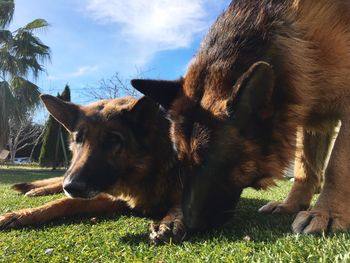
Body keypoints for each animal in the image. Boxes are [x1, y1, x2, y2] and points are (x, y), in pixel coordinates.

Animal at [0, 96, 186, 244]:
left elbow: (180, 204)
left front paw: (169, 222)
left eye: (112, 139)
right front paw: (20, 214)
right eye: (79, 139)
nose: (71, 187)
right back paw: (36, 190)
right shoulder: (111, 197)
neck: (148, 171)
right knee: (56, 184)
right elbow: (64, 202)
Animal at [131, 0, 350, 235]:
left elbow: (336, 165)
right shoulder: (311, 115)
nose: (188, 225)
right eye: (182, 162)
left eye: (213, 163)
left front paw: (326, 213)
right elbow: (305, 167)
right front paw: (292, 205)